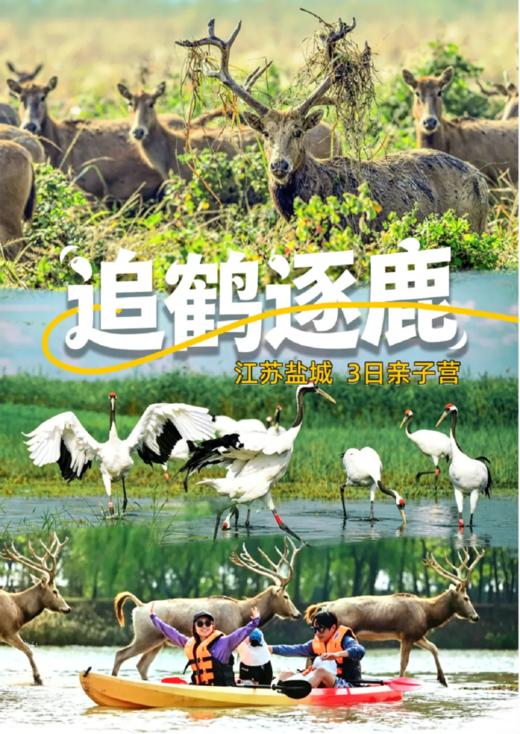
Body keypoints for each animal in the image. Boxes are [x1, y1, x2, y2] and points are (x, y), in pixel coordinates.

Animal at [0, 533, 70, 685]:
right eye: (55, 591)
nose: (68, 608)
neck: (19, 612)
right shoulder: (8, 631)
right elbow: (29, 650)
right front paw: (38, 678)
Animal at [111, 539, 303, 680]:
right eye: (286, 596)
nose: (298, 614)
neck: (242, 613)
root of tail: (139, 606)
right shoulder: (230, 637)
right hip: (145, 636)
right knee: (120, 654)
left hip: (157, 641)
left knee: (141, 665)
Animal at [304, 547, 485, 687]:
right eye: (466, 598)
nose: (476, 616)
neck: (428, 615)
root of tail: (325, 606)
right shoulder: (408, 634)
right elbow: (404, 663)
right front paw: (403, 681)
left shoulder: (416, 634)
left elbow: (434, 647)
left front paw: (443, 680)